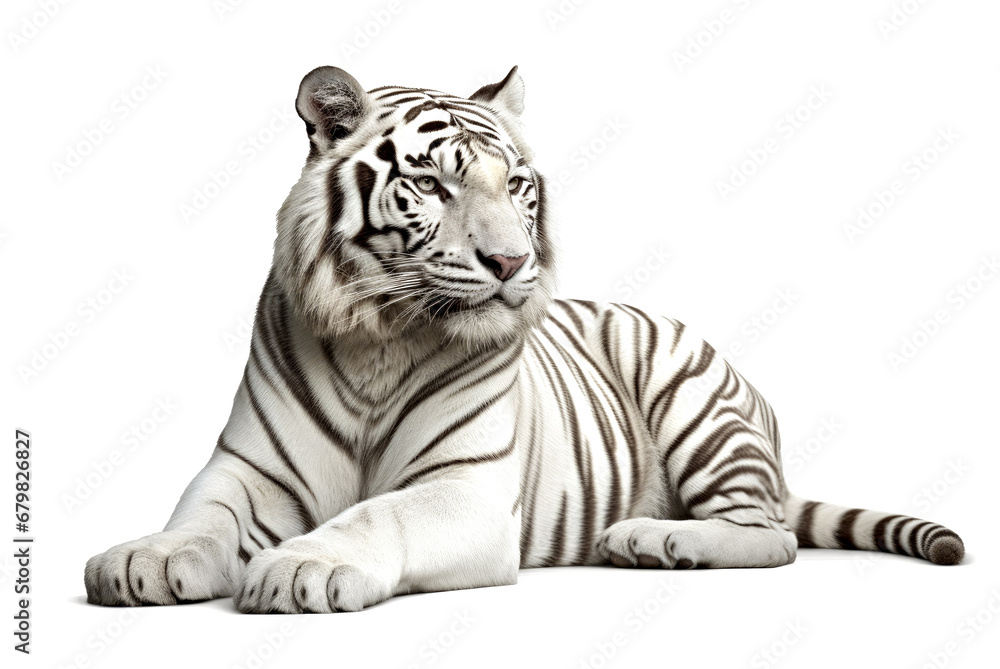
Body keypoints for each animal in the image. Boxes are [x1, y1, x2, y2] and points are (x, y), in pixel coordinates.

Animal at [84, 65, 965, 614]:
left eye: (515, 184)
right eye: (430, 184)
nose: (511, 262)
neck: (381, 338)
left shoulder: (466, 489)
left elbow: (375, 516)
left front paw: (308, 562)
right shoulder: (249, 469)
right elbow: (202, 517)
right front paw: (144, 558)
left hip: (695, 404)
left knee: (771, 535)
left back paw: (651, 537)